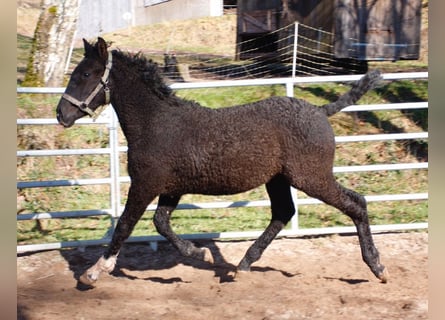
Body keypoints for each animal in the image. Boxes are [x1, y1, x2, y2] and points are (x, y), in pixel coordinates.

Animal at [56, 37, 388, 284]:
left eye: (85, 74)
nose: (61, 114)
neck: (156, 123)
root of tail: (320, 110)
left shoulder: (145, 184)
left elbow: (125, 225)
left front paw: (93, 272)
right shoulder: (171, 188)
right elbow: (161, 223)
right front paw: (197, 252)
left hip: (311, 177)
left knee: (356, 203)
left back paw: (377, 267)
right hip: (278, 180)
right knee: (283, 213)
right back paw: (243, 265)